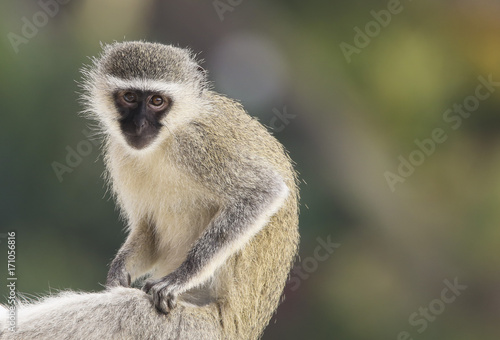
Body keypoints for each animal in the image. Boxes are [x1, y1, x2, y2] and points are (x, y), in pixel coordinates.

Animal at [0, 41, 296, 340]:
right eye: (129, 97)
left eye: (157, 101)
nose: (139, 124)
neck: (166, 139)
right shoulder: (119, 152)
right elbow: (149, 229)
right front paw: (118, 272)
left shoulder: (199, 145)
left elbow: (263, 191)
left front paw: (180, 277)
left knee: (124, 309)